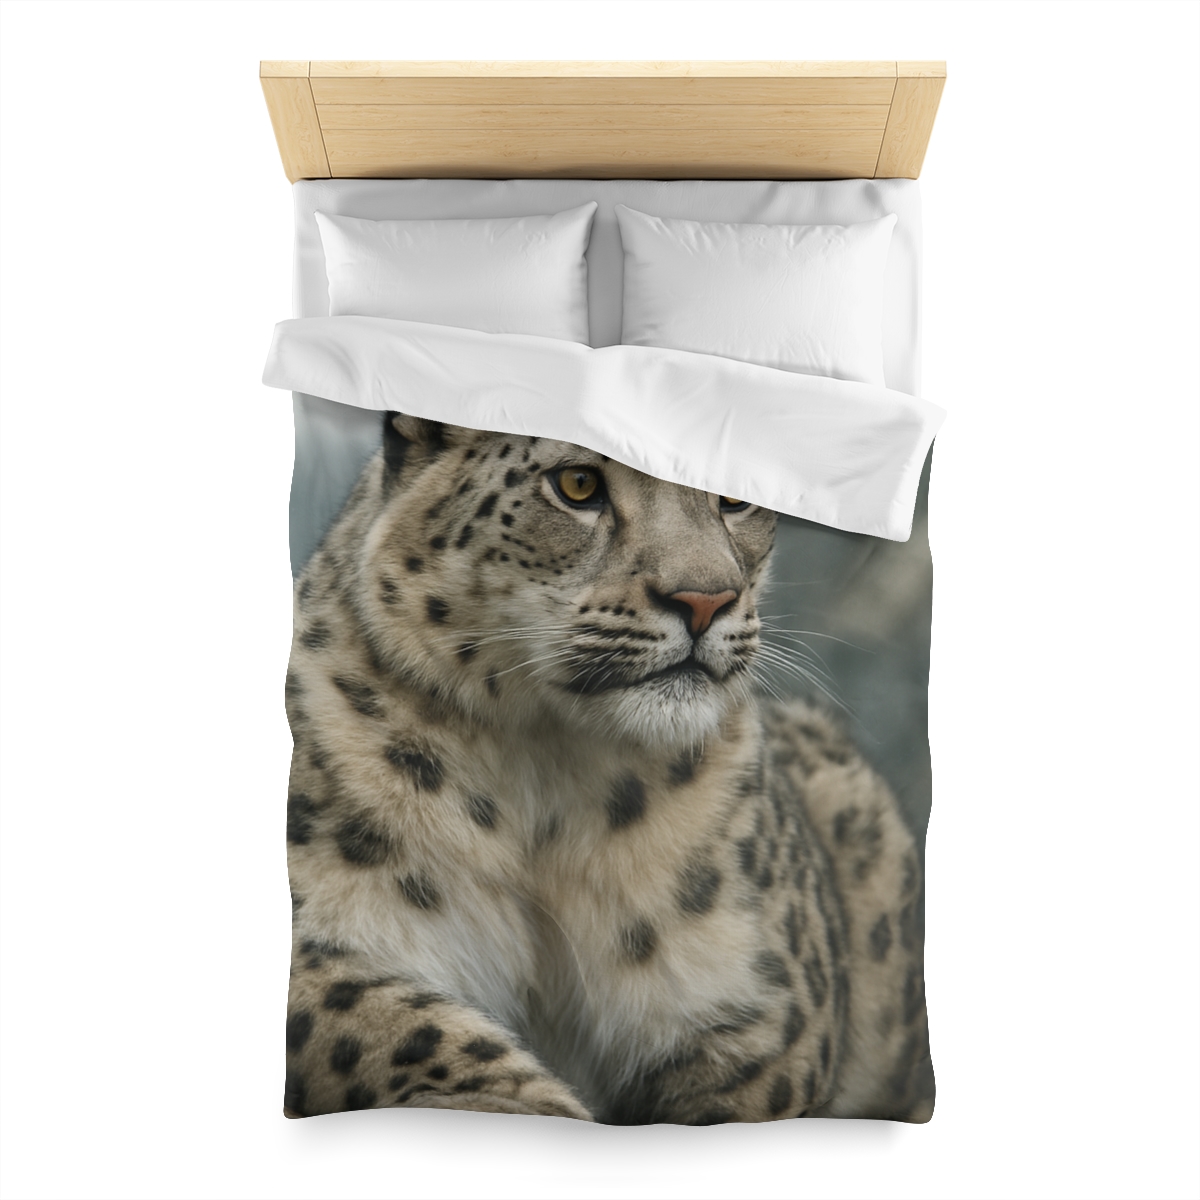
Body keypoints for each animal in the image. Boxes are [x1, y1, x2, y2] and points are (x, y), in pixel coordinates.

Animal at [281, 411, 933, 1124]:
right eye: (578, 483)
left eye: (735, 494)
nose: (706, 601)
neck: (547, 782)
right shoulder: (321, 940)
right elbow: (405, 1031)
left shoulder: (758, 997)